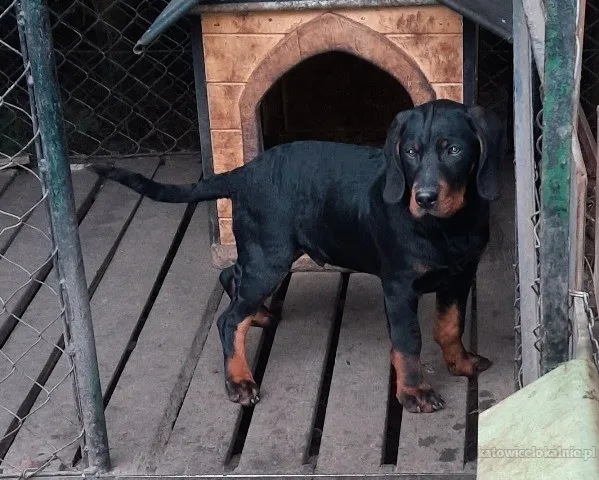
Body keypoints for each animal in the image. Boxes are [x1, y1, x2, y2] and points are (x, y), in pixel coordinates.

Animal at [89, 99, 505, 414]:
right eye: (410, 152)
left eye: (454, 150)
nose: (424, 198)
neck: (446, 227)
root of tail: (244, 172)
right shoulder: (399, 286)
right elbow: (408, 341)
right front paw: (414, 391)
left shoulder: (460, 275)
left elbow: (449, 325)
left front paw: (461, 363)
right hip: (270, 255)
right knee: (228, 319)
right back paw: (239, 380)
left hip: (261, 252)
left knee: (232, 280)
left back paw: (257, 314)